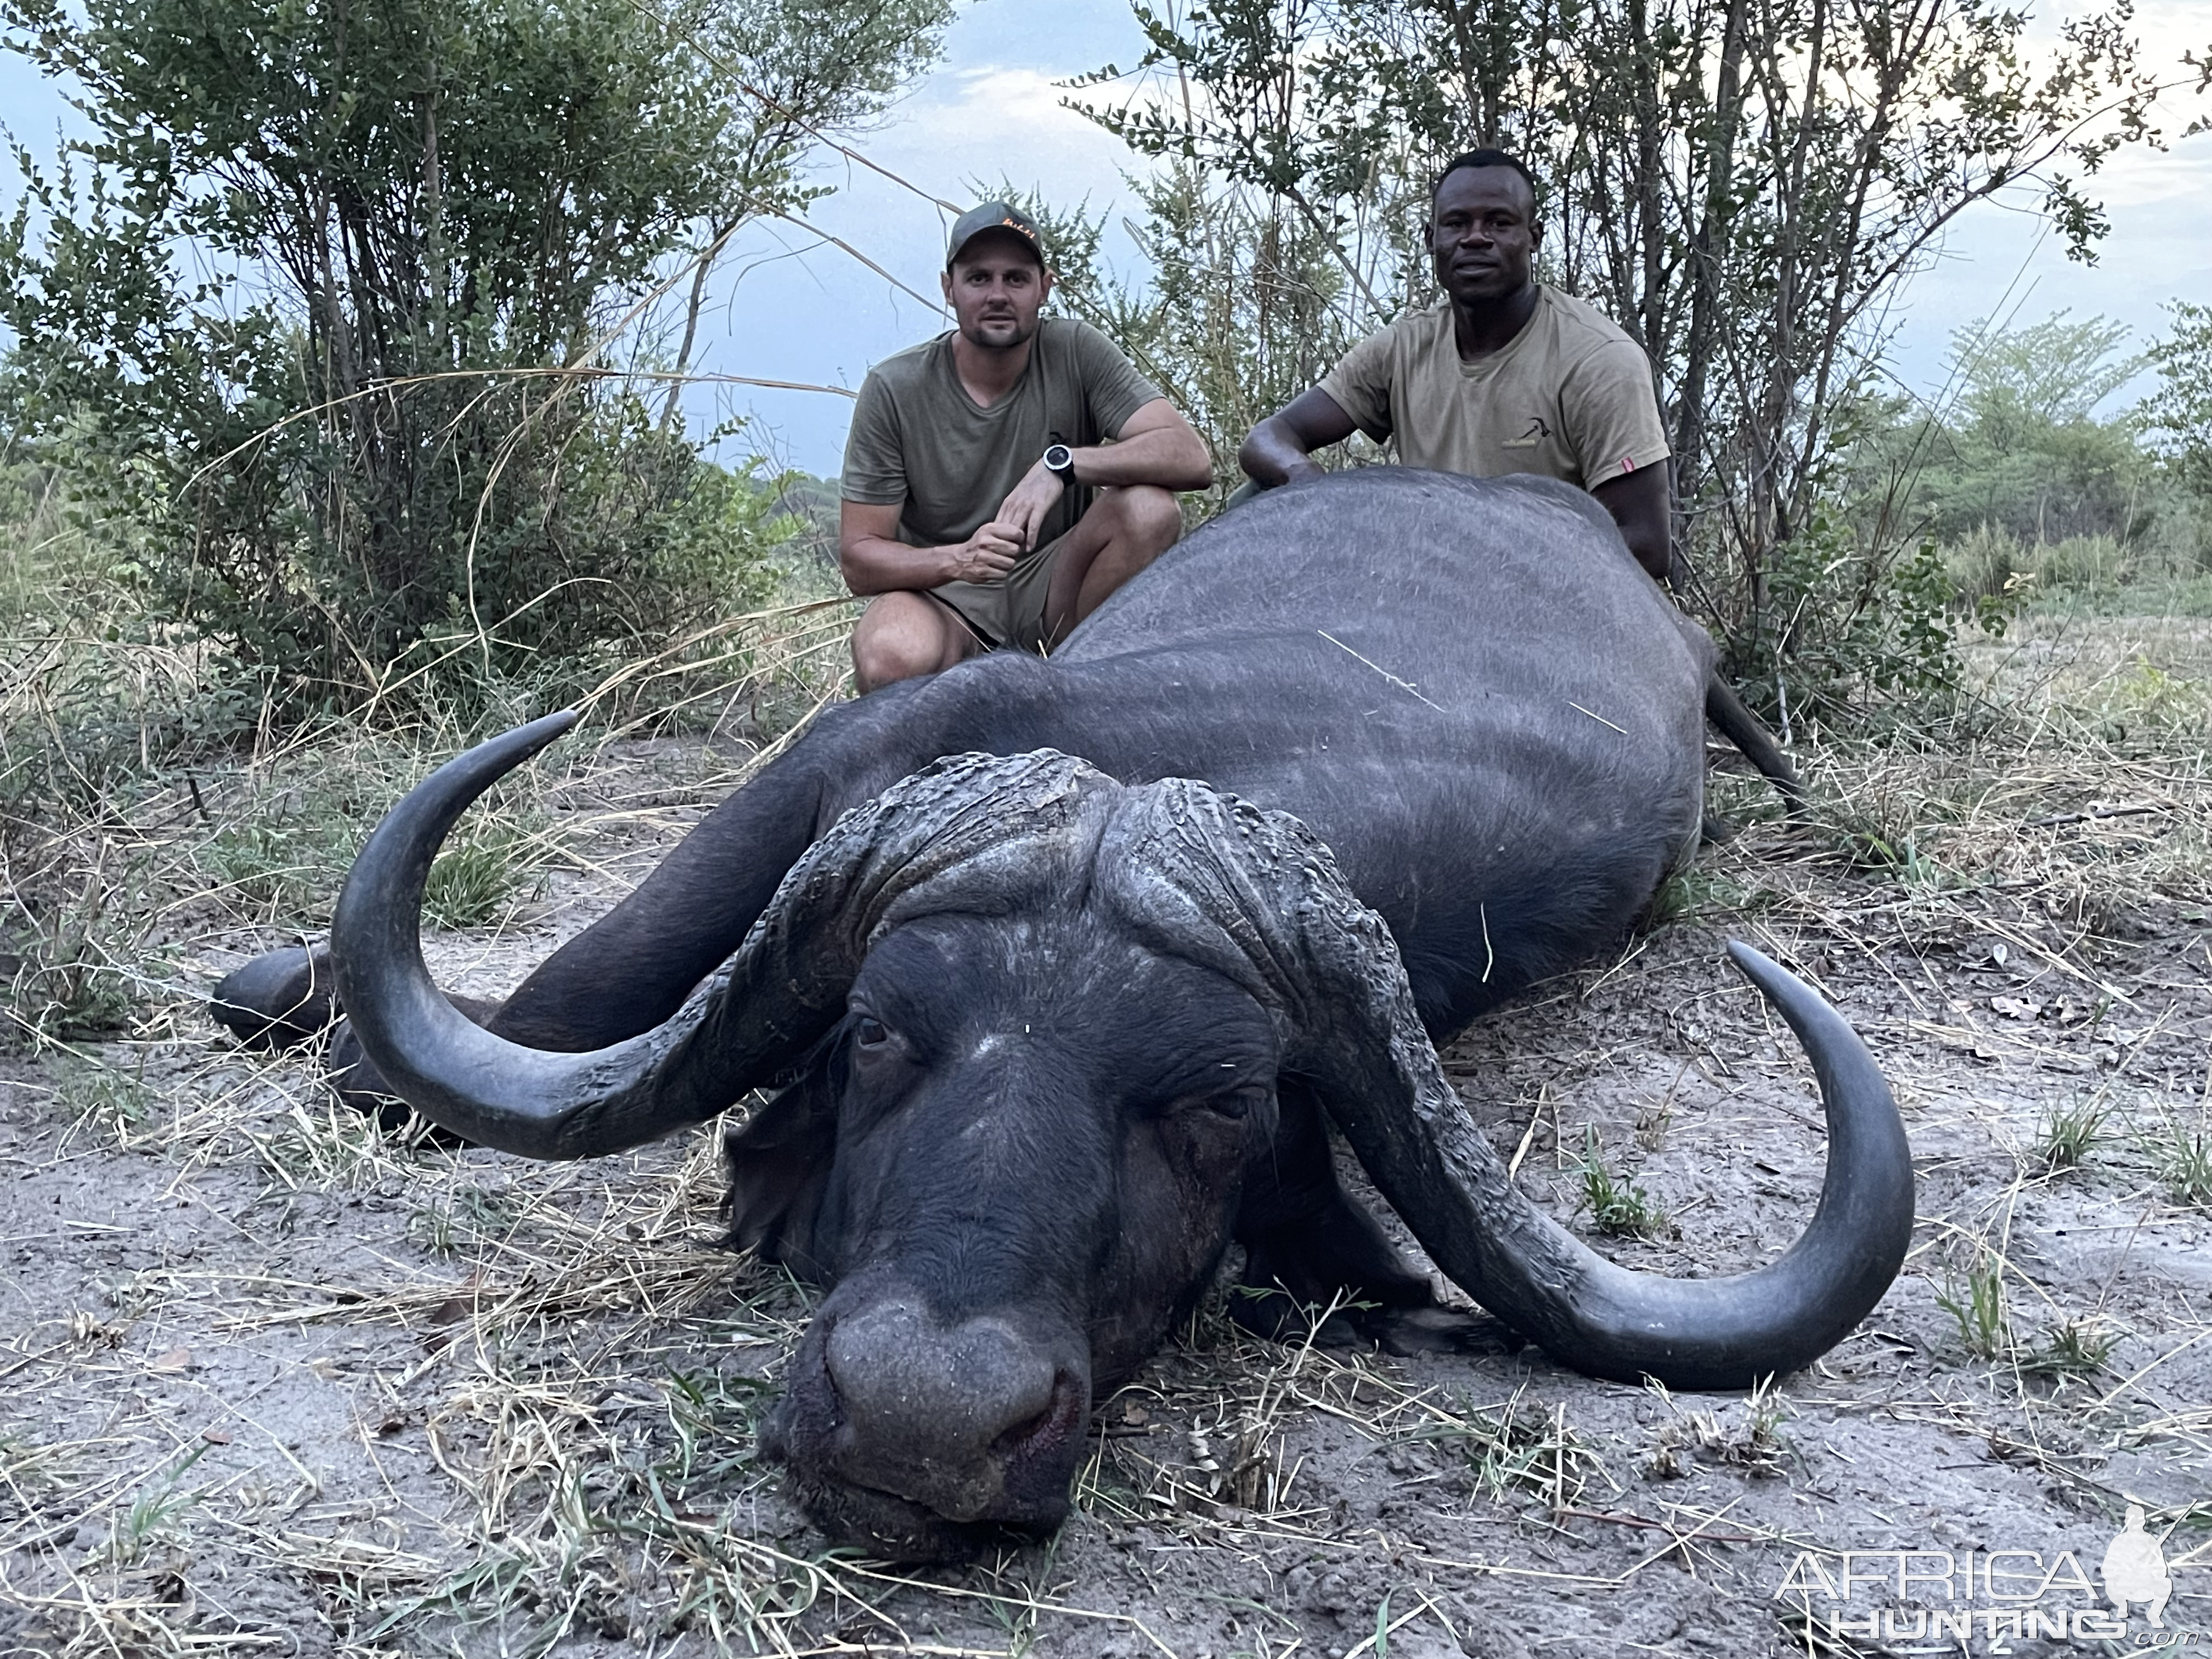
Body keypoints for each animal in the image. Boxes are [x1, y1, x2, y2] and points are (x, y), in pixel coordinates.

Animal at [208, 471, 1911, 1575]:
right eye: (882, 1033)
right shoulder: (835, 769)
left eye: (1220, 1109)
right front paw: (301, 1005)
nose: (920, 1423)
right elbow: (543, 998)